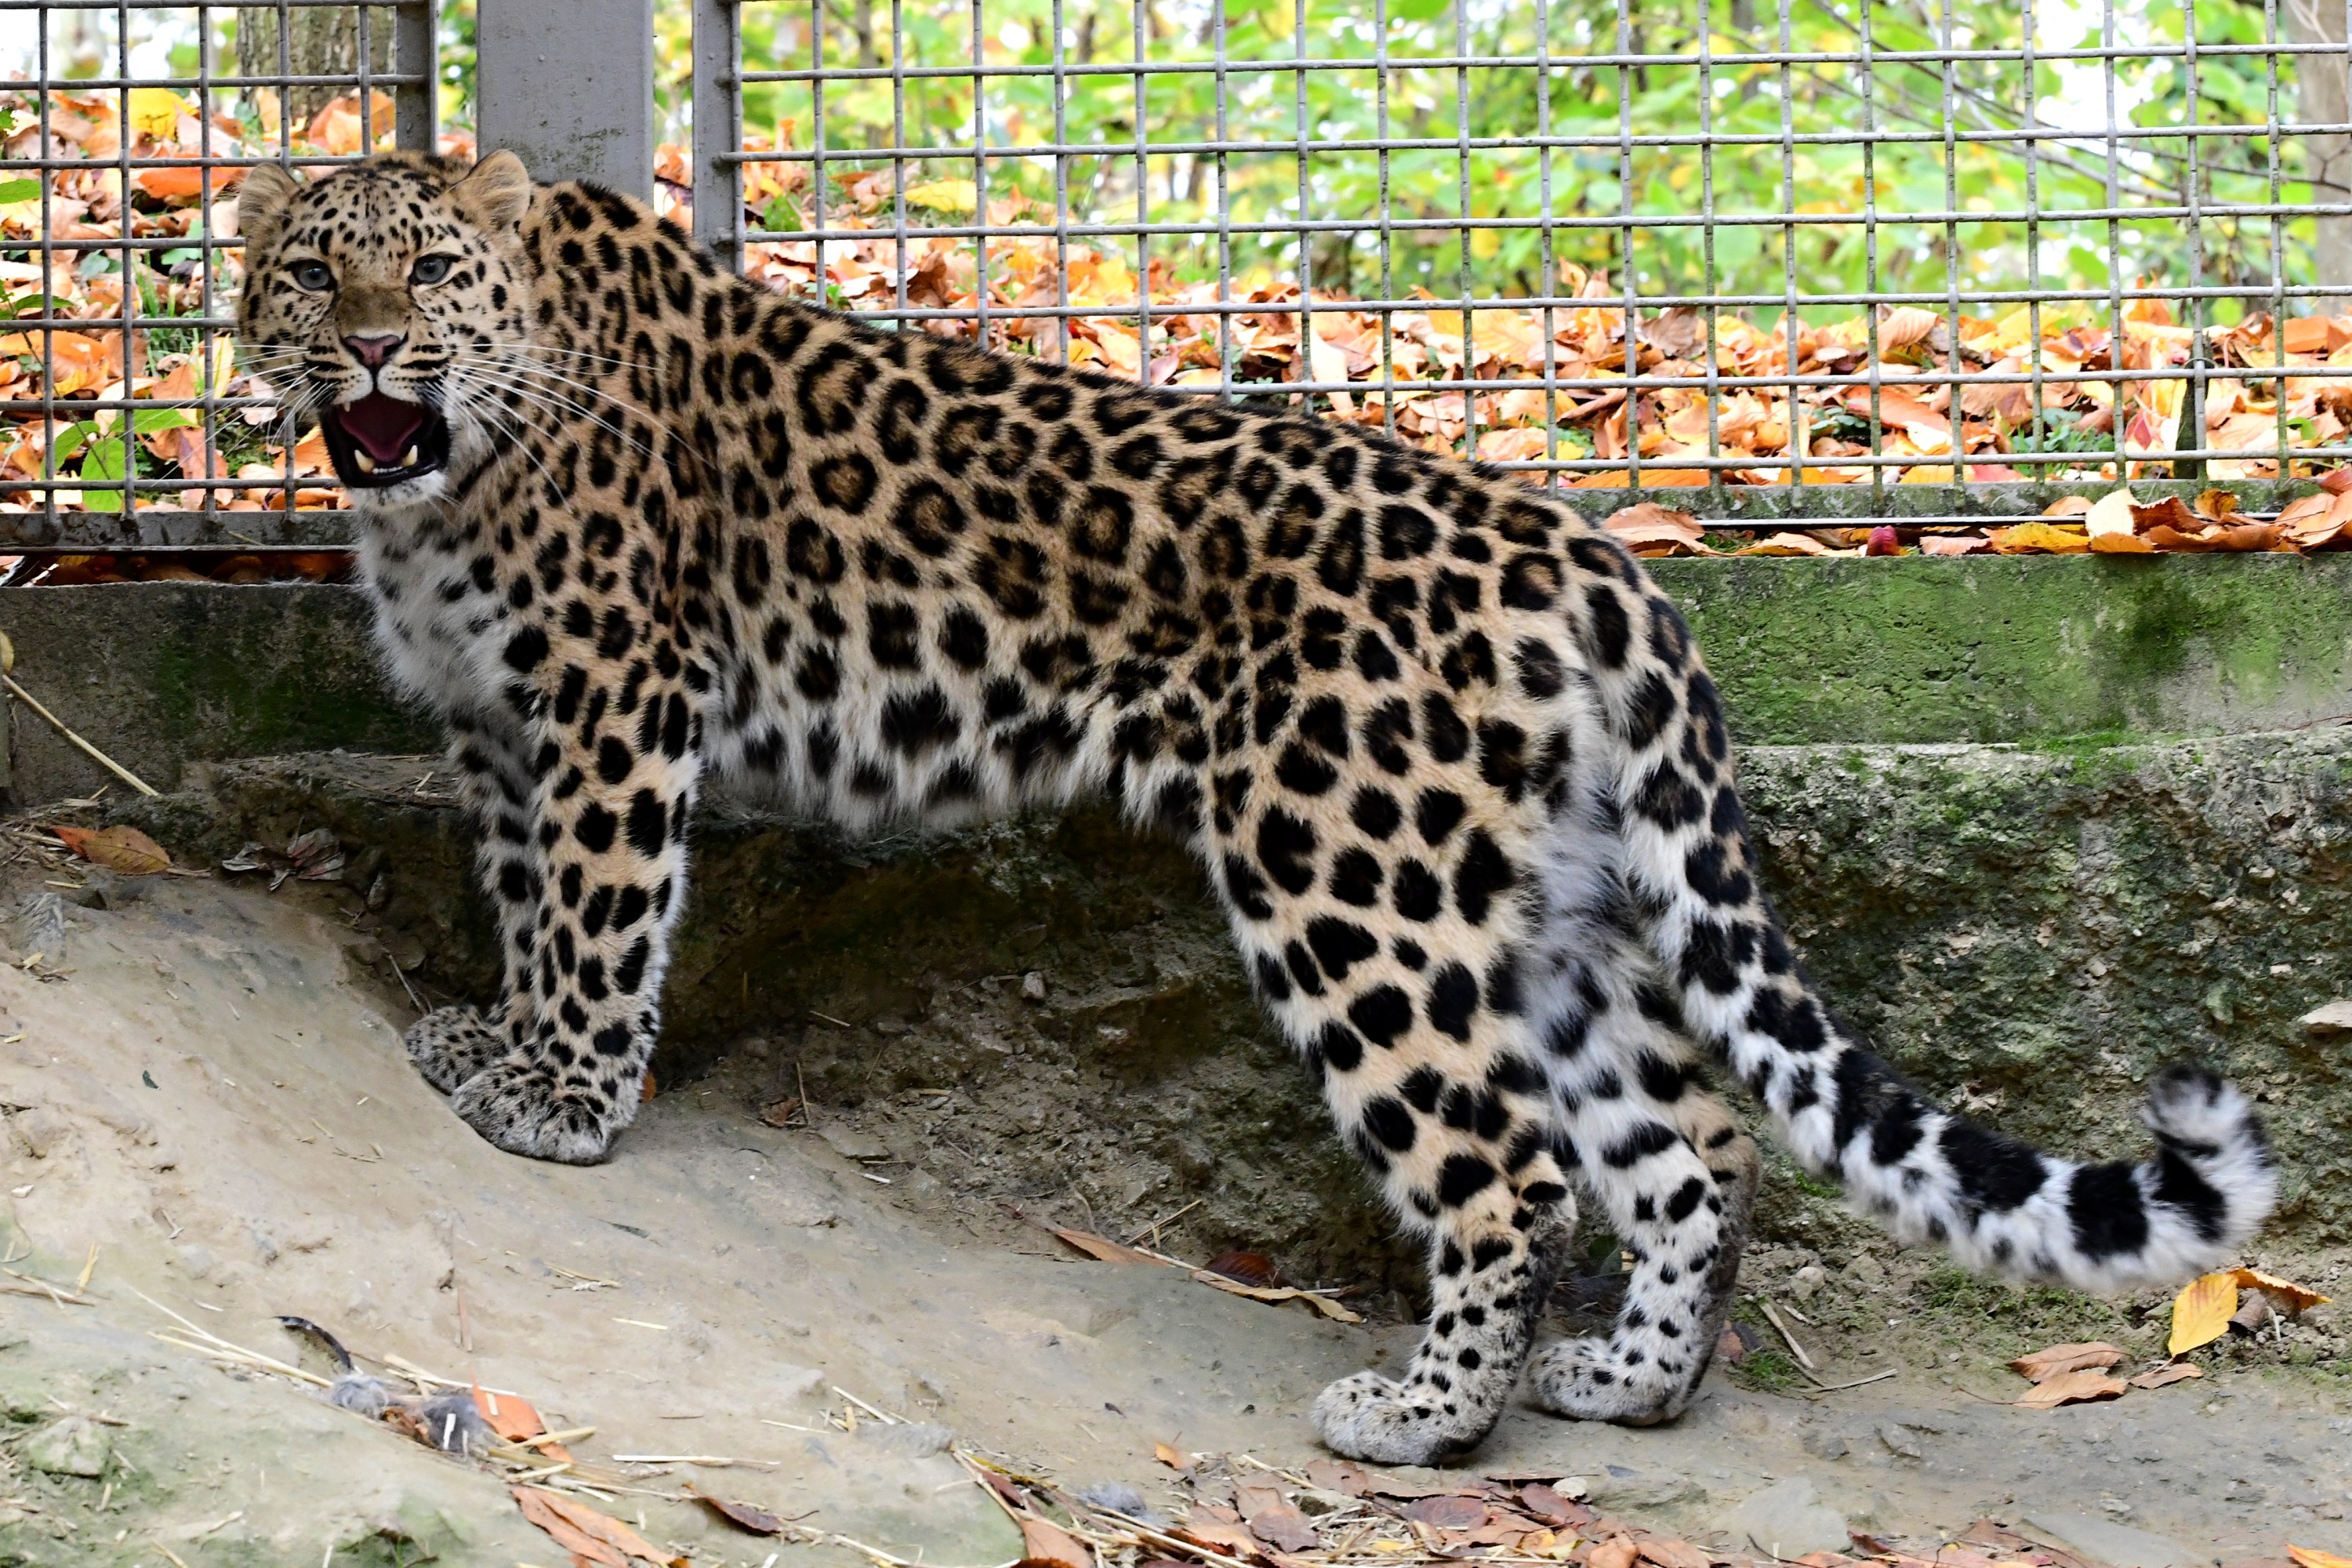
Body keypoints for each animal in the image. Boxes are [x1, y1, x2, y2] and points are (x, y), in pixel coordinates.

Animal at [234, 148, 2277, 1466]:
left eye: (427, 278)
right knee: (1690, 1138)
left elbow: (596, 908)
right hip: (1546, 904)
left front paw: (561, 1104)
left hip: (1352, 874)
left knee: (1508, 1163)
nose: (370, 354)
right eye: (308, 277)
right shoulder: (501, 727)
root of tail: (1586, 552)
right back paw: (1628, 1386)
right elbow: (523, 898)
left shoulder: (613, 695)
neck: (448, 476)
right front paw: (493, 1039)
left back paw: (1419, 1416)